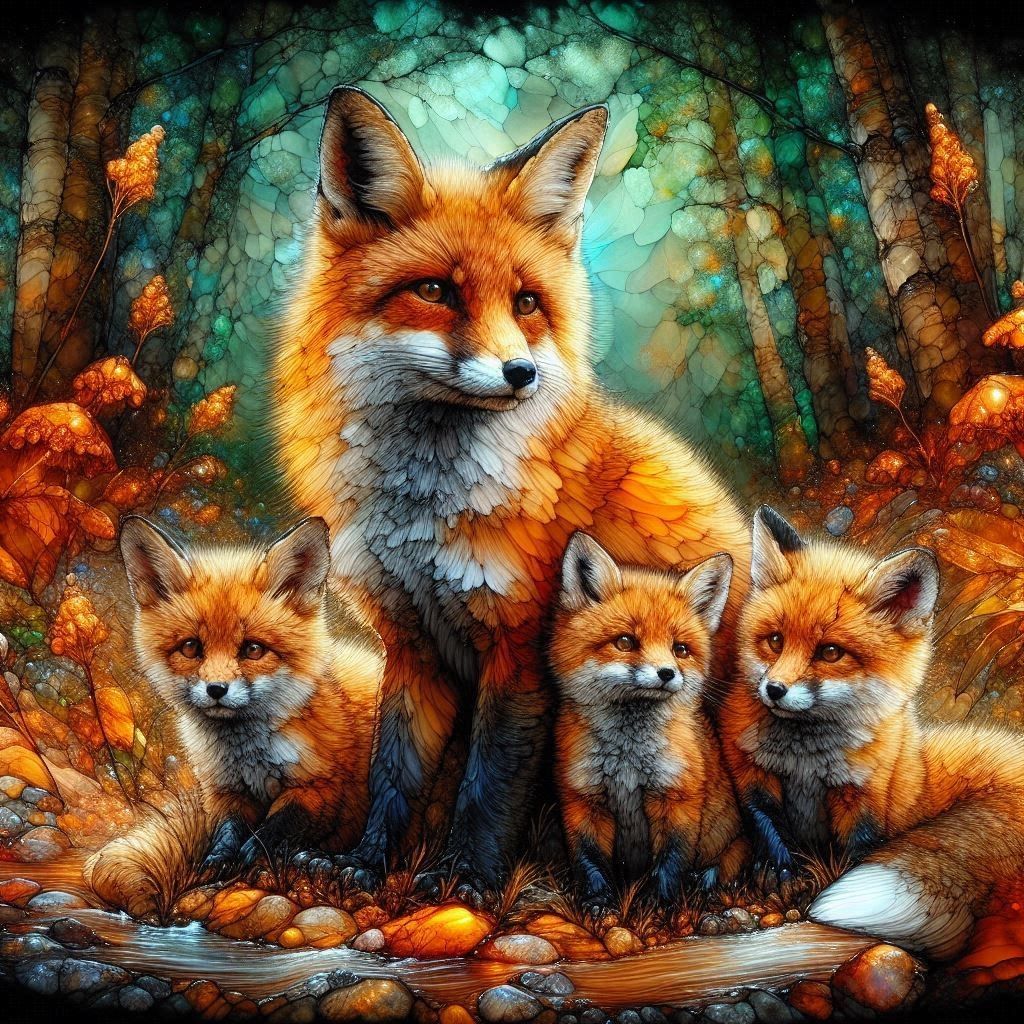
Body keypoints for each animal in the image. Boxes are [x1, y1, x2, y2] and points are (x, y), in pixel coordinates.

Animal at [84, 516, 383, 915]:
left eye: (253, 649)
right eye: (191, 647)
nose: (216, 689)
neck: (247, 757)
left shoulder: (321, 787)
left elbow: (273, 830)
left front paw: (250, 859)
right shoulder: (226, 792)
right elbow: (227, 833)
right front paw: (216, 863)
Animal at [550, 533, 746, 908]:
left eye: (680, 649)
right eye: (626, 641)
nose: (667, 673)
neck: (628, 761)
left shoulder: (678, 796)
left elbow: (672, 858)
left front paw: (660, 902)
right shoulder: (582, 798)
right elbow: (588, 857)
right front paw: (598, 902)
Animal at [718, 504, 1024, 959]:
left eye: (830, 652)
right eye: (774, 641)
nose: (774, 689)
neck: (805, 759)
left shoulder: (866, 792)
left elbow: (858, 850)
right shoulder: (748, 771)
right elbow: (767, 826)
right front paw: (779, 876)